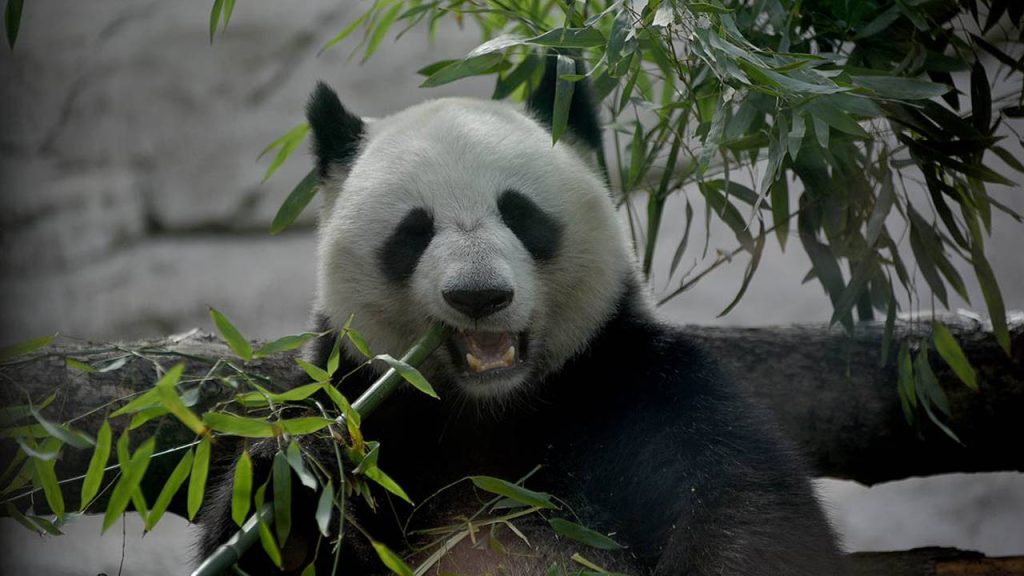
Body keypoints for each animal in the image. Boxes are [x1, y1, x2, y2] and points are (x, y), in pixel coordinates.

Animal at [195, 54, 843, 573]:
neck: (493, 410)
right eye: (414, 231)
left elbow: (748, 510)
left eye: (520, 212)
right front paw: (290, 489)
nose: (478, 295)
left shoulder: (636, 385)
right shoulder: (356, 397)